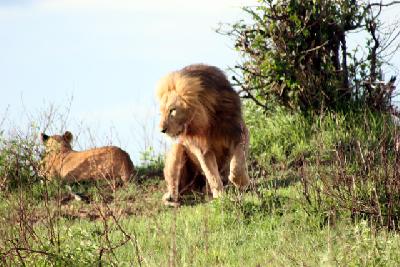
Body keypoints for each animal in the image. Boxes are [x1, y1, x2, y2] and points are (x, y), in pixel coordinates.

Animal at [157, 63, 248, 206]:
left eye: (173, 110)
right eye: (161, 112)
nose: (162, 130)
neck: (207, 123)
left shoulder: (239, 133)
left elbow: (238, 165)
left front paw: (242, 183)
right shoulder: (202, 149)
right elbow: (211, 174)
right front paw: (221, 197)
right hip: (178, 149)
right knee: (175, 188)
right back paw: (171, 199)